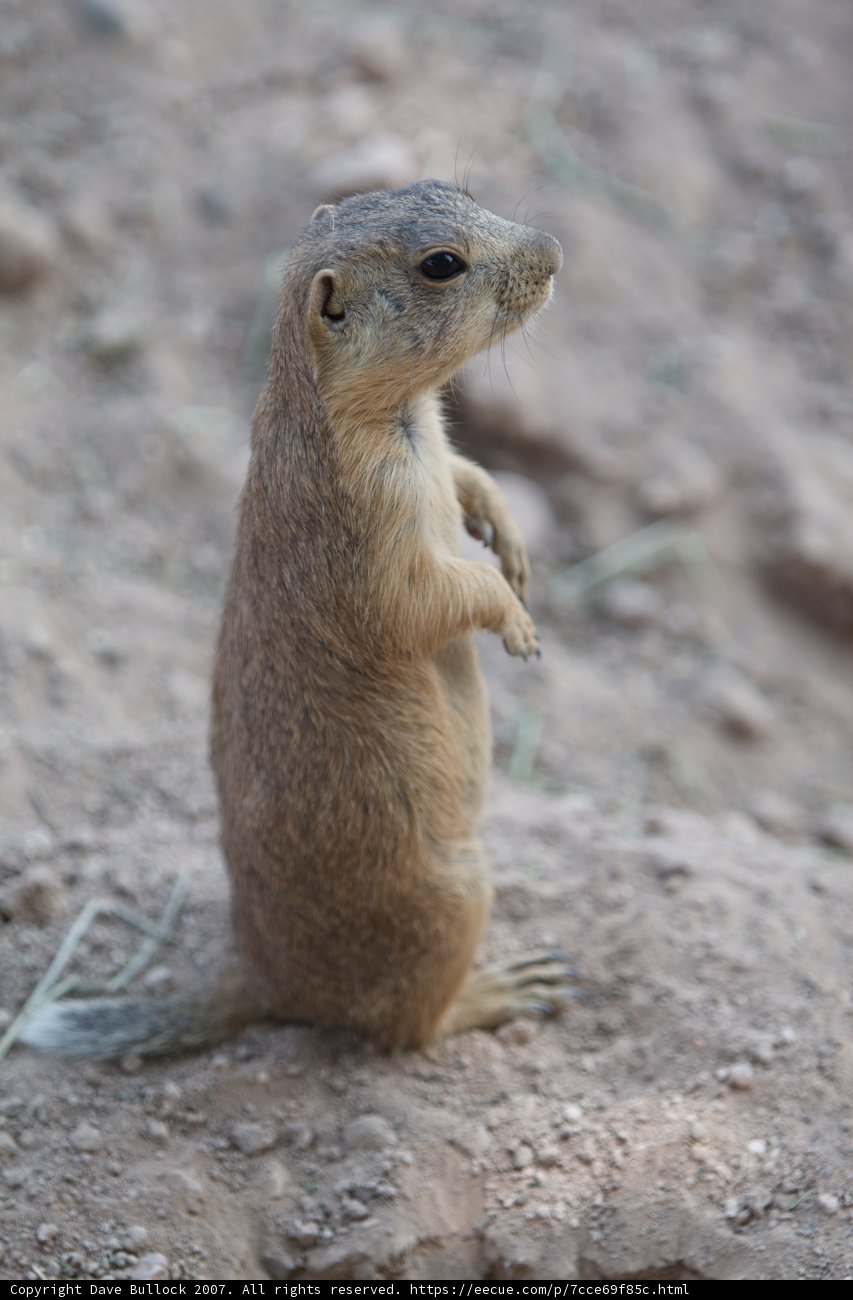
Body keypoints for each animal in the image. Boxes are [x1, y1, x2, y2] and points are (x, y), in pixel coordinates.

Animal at [20, 180, 574, 1060]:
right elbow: (426, 598)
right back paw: (506, 986)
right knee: (407, 1029)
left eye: (452, 189)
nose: (554, 250)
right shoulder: (372, 522)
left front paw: (508, 537)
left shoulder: (433, 454)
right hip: (455, 898)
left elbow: (467, 473)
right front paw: (519, 623)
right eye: (441, 265)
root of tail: (264, 981)